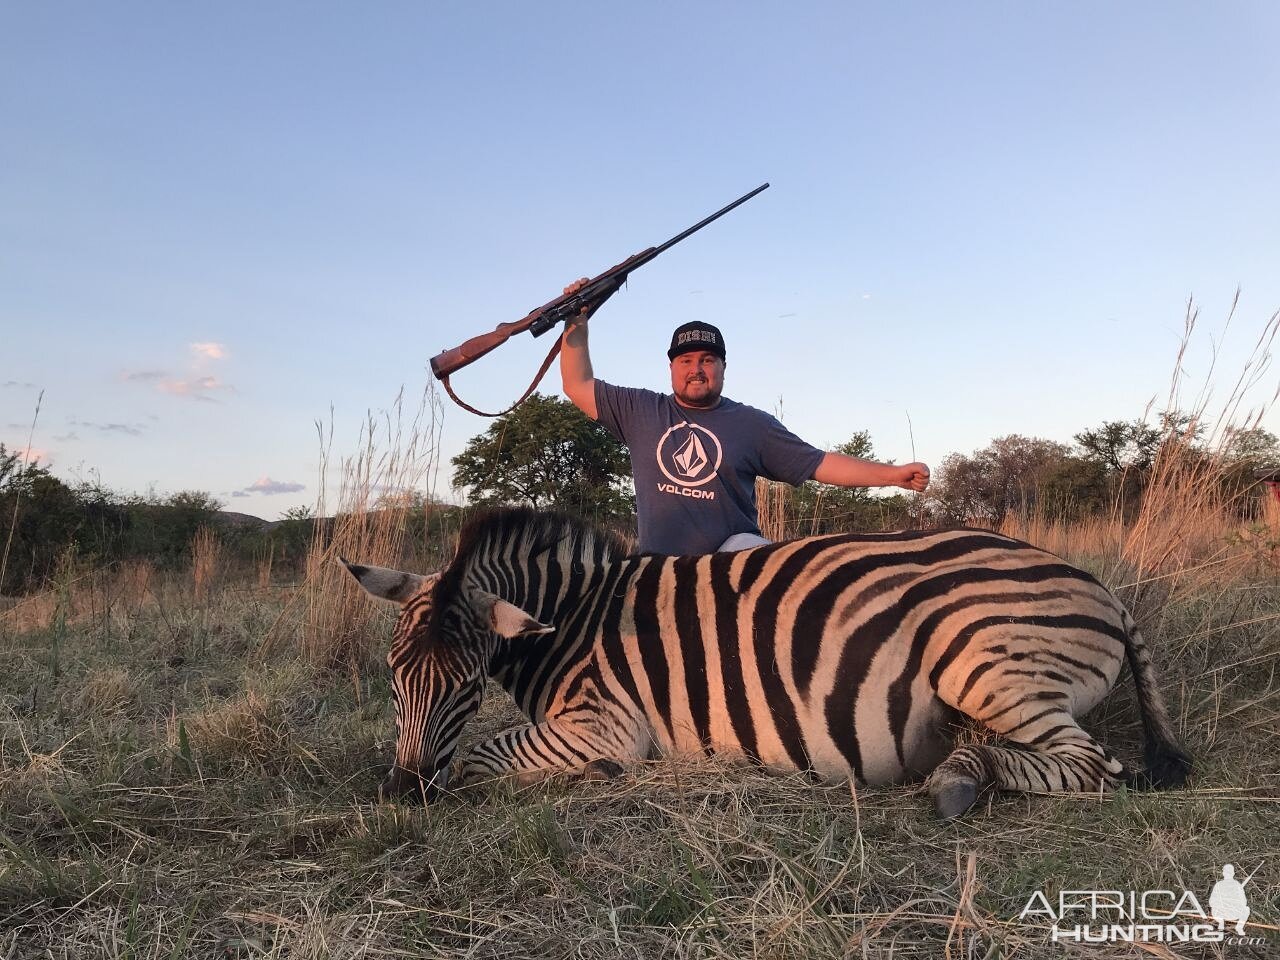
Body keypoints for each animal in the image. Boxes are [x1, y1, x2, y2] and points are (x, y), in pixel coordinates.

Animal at [343, 506, 1187, 814]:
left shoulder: (603, 725)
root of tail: (1101, 589)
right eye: (391, 675)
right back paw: (960, 767)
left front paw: (590, 779)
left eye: (464, 683)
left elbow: (478, 758)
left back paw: (957, 780)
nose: (401, 792)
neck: (573, 619)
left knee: (1090, 767)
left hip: (985, 663)